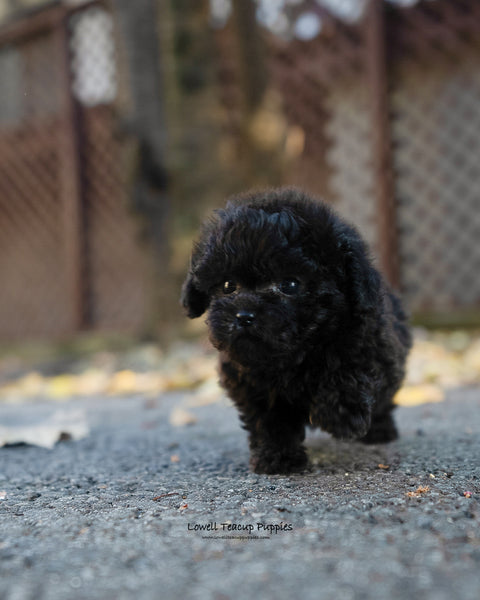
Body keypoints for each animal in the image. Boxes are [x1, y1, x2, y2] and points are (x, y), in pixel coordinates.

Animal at [182, 188, 410, 474]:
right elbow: (269, 419)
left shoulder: (373, 342)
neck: (295, 354)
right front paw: (278, 457)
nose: (244, 316)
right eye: (227, 285)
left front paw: (340, 415)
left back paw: (380, 430)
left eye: (289, 284)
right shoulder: (248, 381)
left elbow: (350, 366)